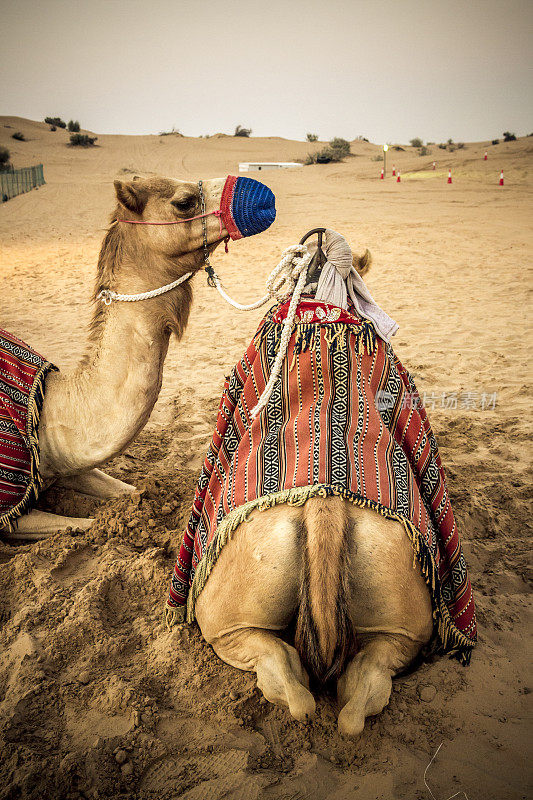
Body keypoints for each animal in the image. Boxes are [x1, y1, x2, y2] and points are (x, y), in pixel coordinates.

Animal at [1, 173, 274, 540]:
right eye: (184, 201)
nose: (263, 194)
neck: (46, 416)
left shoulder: (65, 466)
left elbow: (133, 491)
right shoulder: (10, 513)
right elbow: (85, 526)